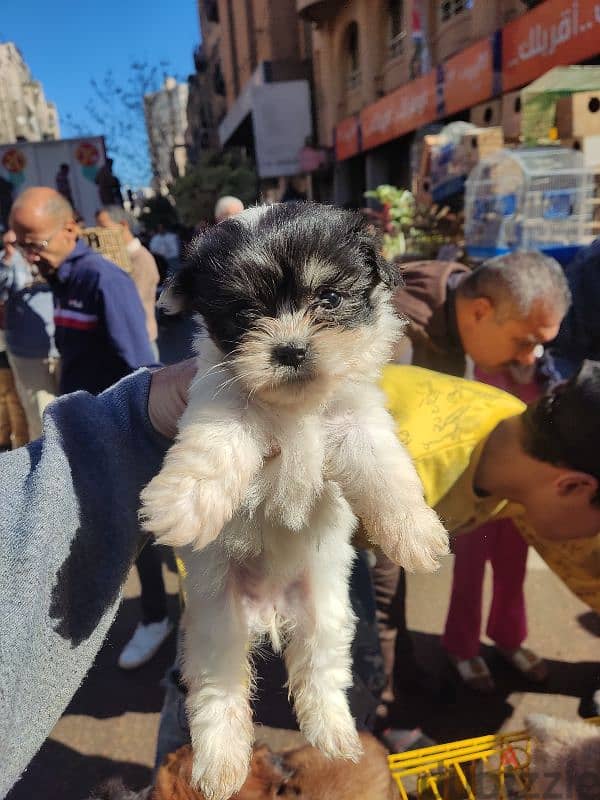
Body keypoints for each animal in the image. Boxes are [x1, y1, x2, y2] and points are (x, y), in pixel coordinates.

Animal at [141, 203, 448, 800]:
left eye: (327, 299)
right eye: (243, 311)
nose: (290, 348)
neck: (295, 408)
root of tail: (271, 613)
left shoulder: (359, 422)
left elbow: (388, 474)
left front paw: (415, 533)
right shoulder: (221, 405)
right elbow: (211, 452)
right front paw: (180, 506)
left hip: (326, 613)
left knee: (320, 672)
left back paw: (335, 736)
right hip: (215, 627)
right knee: (218, 692)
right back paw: (220, 765)